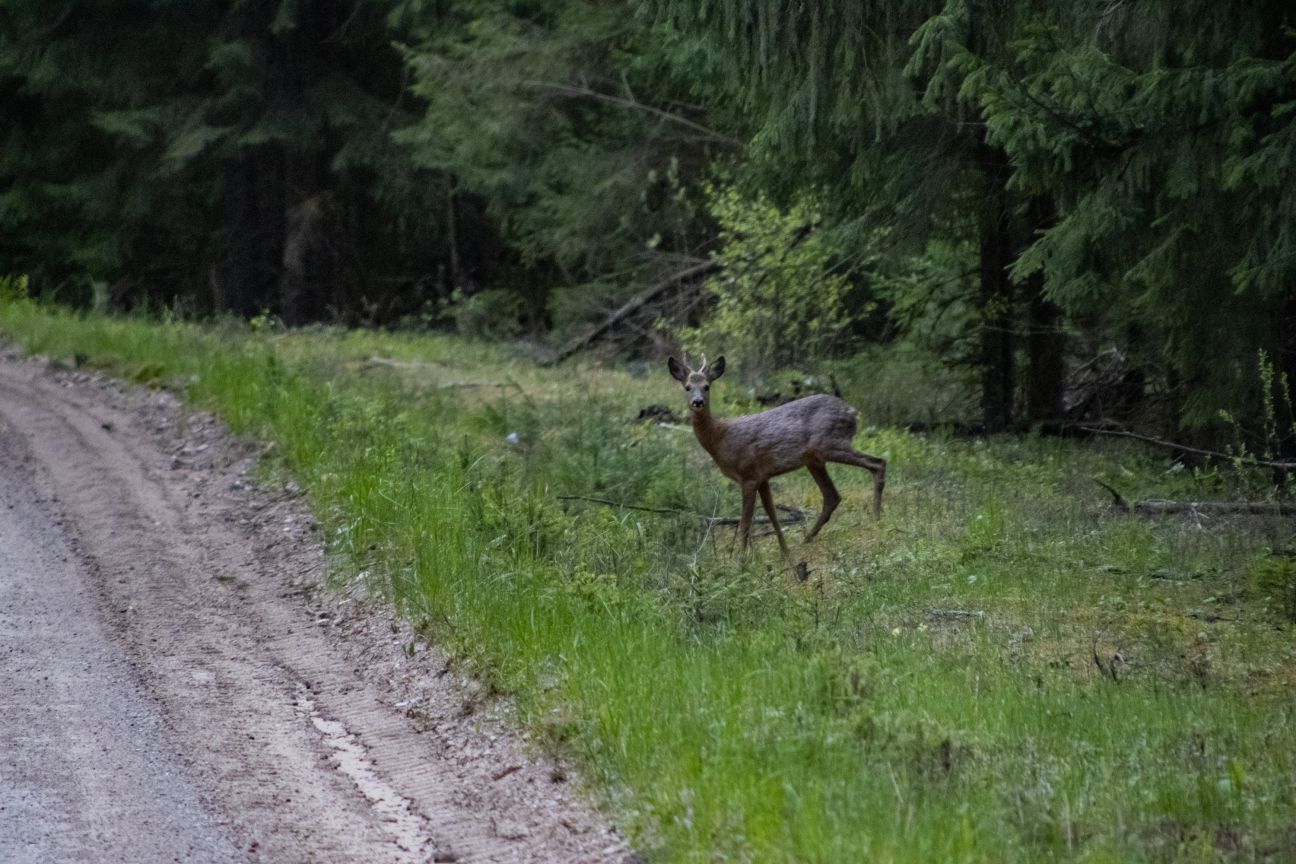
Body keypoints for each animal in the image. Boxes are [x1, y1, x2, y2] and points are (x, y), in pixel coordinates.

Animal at [663, 357, 886, 554]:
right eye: (687, 387)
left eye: (707, 386)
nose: (697, 402)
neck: (720, 438)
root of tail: (852, 412)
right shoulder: (762, 476)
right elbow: (772, 515)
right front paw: (784, 551)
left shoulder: (748, 474)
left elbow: (746, 523)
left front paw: (741, 561)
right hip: (815, 459)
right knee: (832, 495)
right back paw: (807, 538)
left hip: (831, 443)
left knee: (878, 462)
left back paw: (876, 518)